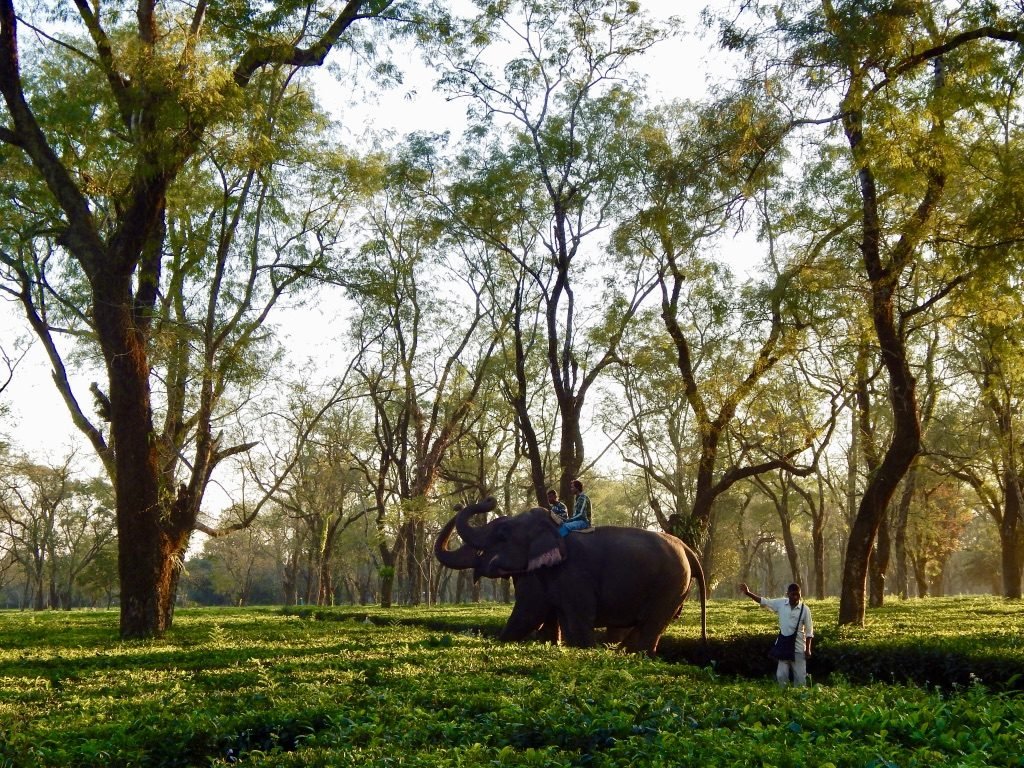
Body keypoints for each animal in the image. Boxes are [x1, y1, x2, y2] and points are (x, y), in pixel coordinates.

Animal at [430, 499, 704, 655]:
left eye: (502, 534)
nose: (489, 498)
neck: (554, 526)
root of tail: (687, 548)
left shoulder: (574, 574)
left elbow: (542, 614)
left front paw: (583, 650)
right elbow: (540, 613)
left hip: (670, 585)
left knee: (650, 626)